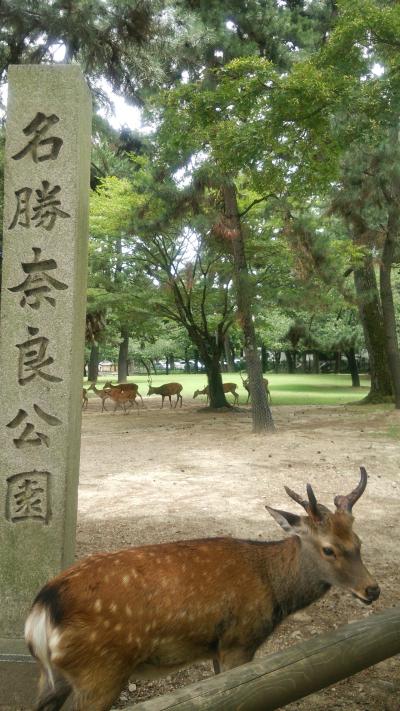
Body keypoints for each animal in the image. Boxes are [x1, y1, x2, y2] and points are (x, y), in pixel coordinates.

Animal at [25, 467, 379, 711]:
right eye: (329, 549)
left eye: (359, 542)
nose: (372, 590)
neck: (273, 589)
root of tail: (41, 610)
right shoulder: (239, 640)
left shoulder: (218, 647)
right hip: (101, 671)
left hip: (52, 676)